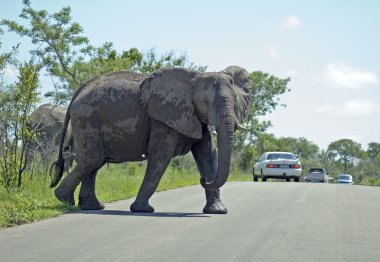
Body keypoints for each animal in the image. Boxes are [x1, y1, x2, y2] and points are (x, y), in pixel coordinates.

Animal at [51, 66, 252, 214]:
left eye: (235, 100)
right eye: (204, 102)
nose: (203, 179)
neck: (194, 79)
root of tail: (78, 93)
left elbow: (207, 155)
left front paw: (217, 211)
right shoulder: (163, 118)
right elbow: (161, 156)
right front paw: (142, 210)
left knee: (95, 162)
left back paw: (92, 207)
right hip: (87, 117)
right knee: (91, 159)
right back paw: (65, 200)